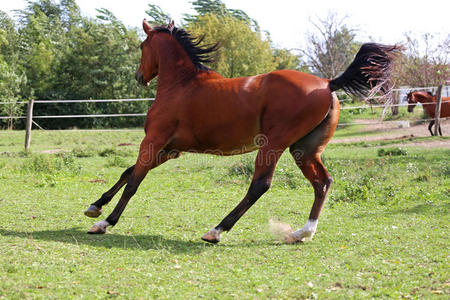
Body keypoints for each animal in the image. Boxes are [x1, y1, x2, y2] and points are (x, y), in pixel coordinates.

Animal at [84, 19, 400, 244]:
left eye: (141, 46)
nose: (139, 77)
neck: (182, 85)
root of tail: (328, 83)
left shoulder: (154, 141)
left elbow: (134, 182)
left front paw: (104, 223)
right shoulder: (171, 149)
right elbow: (128, 172)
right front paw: (94, 206)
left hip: (274, 144)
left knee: (260, 185)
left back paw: (216, 231)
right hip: (304, 149)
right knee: (323, 182)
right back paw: (302, 233)